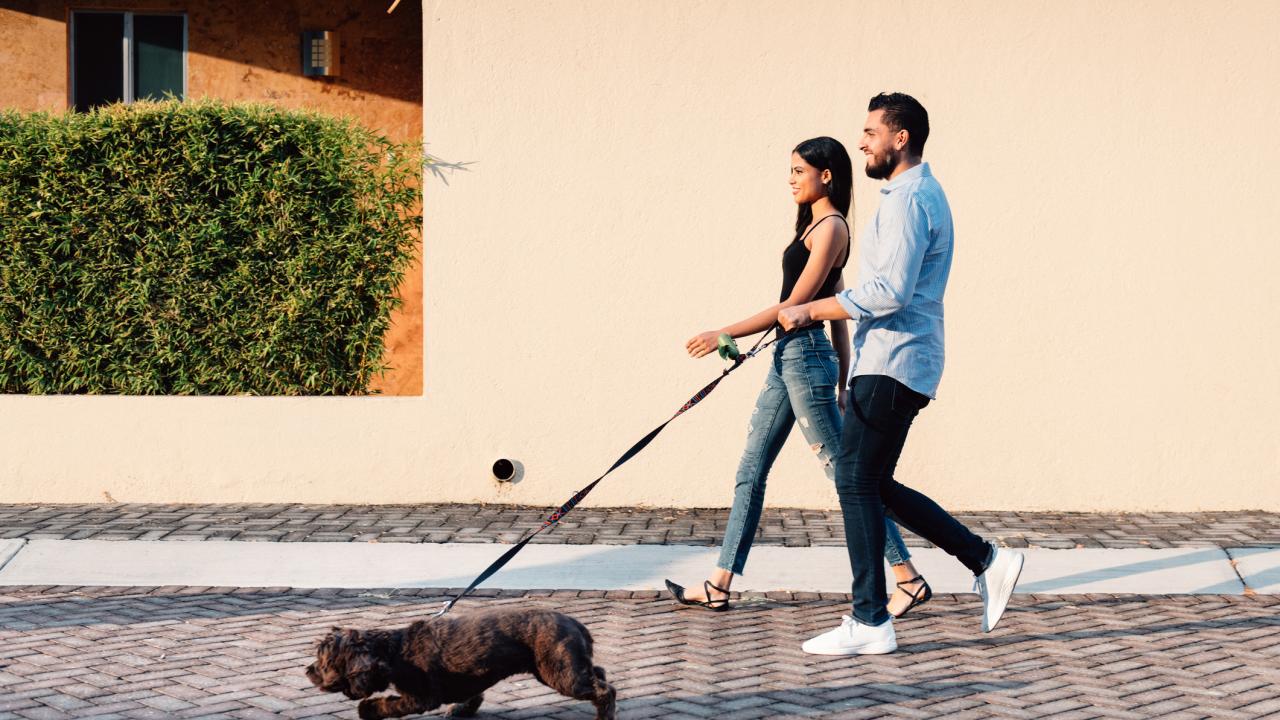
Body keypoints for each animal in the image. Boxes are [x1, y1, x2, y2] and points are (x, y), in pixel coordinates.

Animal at [304, 602, 614, 712]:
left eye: (324, 662)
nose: (308, 670)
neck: (394, 652)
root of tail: (577, 624)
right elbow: (471, 696)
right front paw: (462, 710)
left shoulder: (421, 697)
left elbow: (390, 705)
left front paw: (368, 709)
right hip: (569, 666)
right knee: (598, 672)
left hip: (561, 672)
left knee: (605, 691)